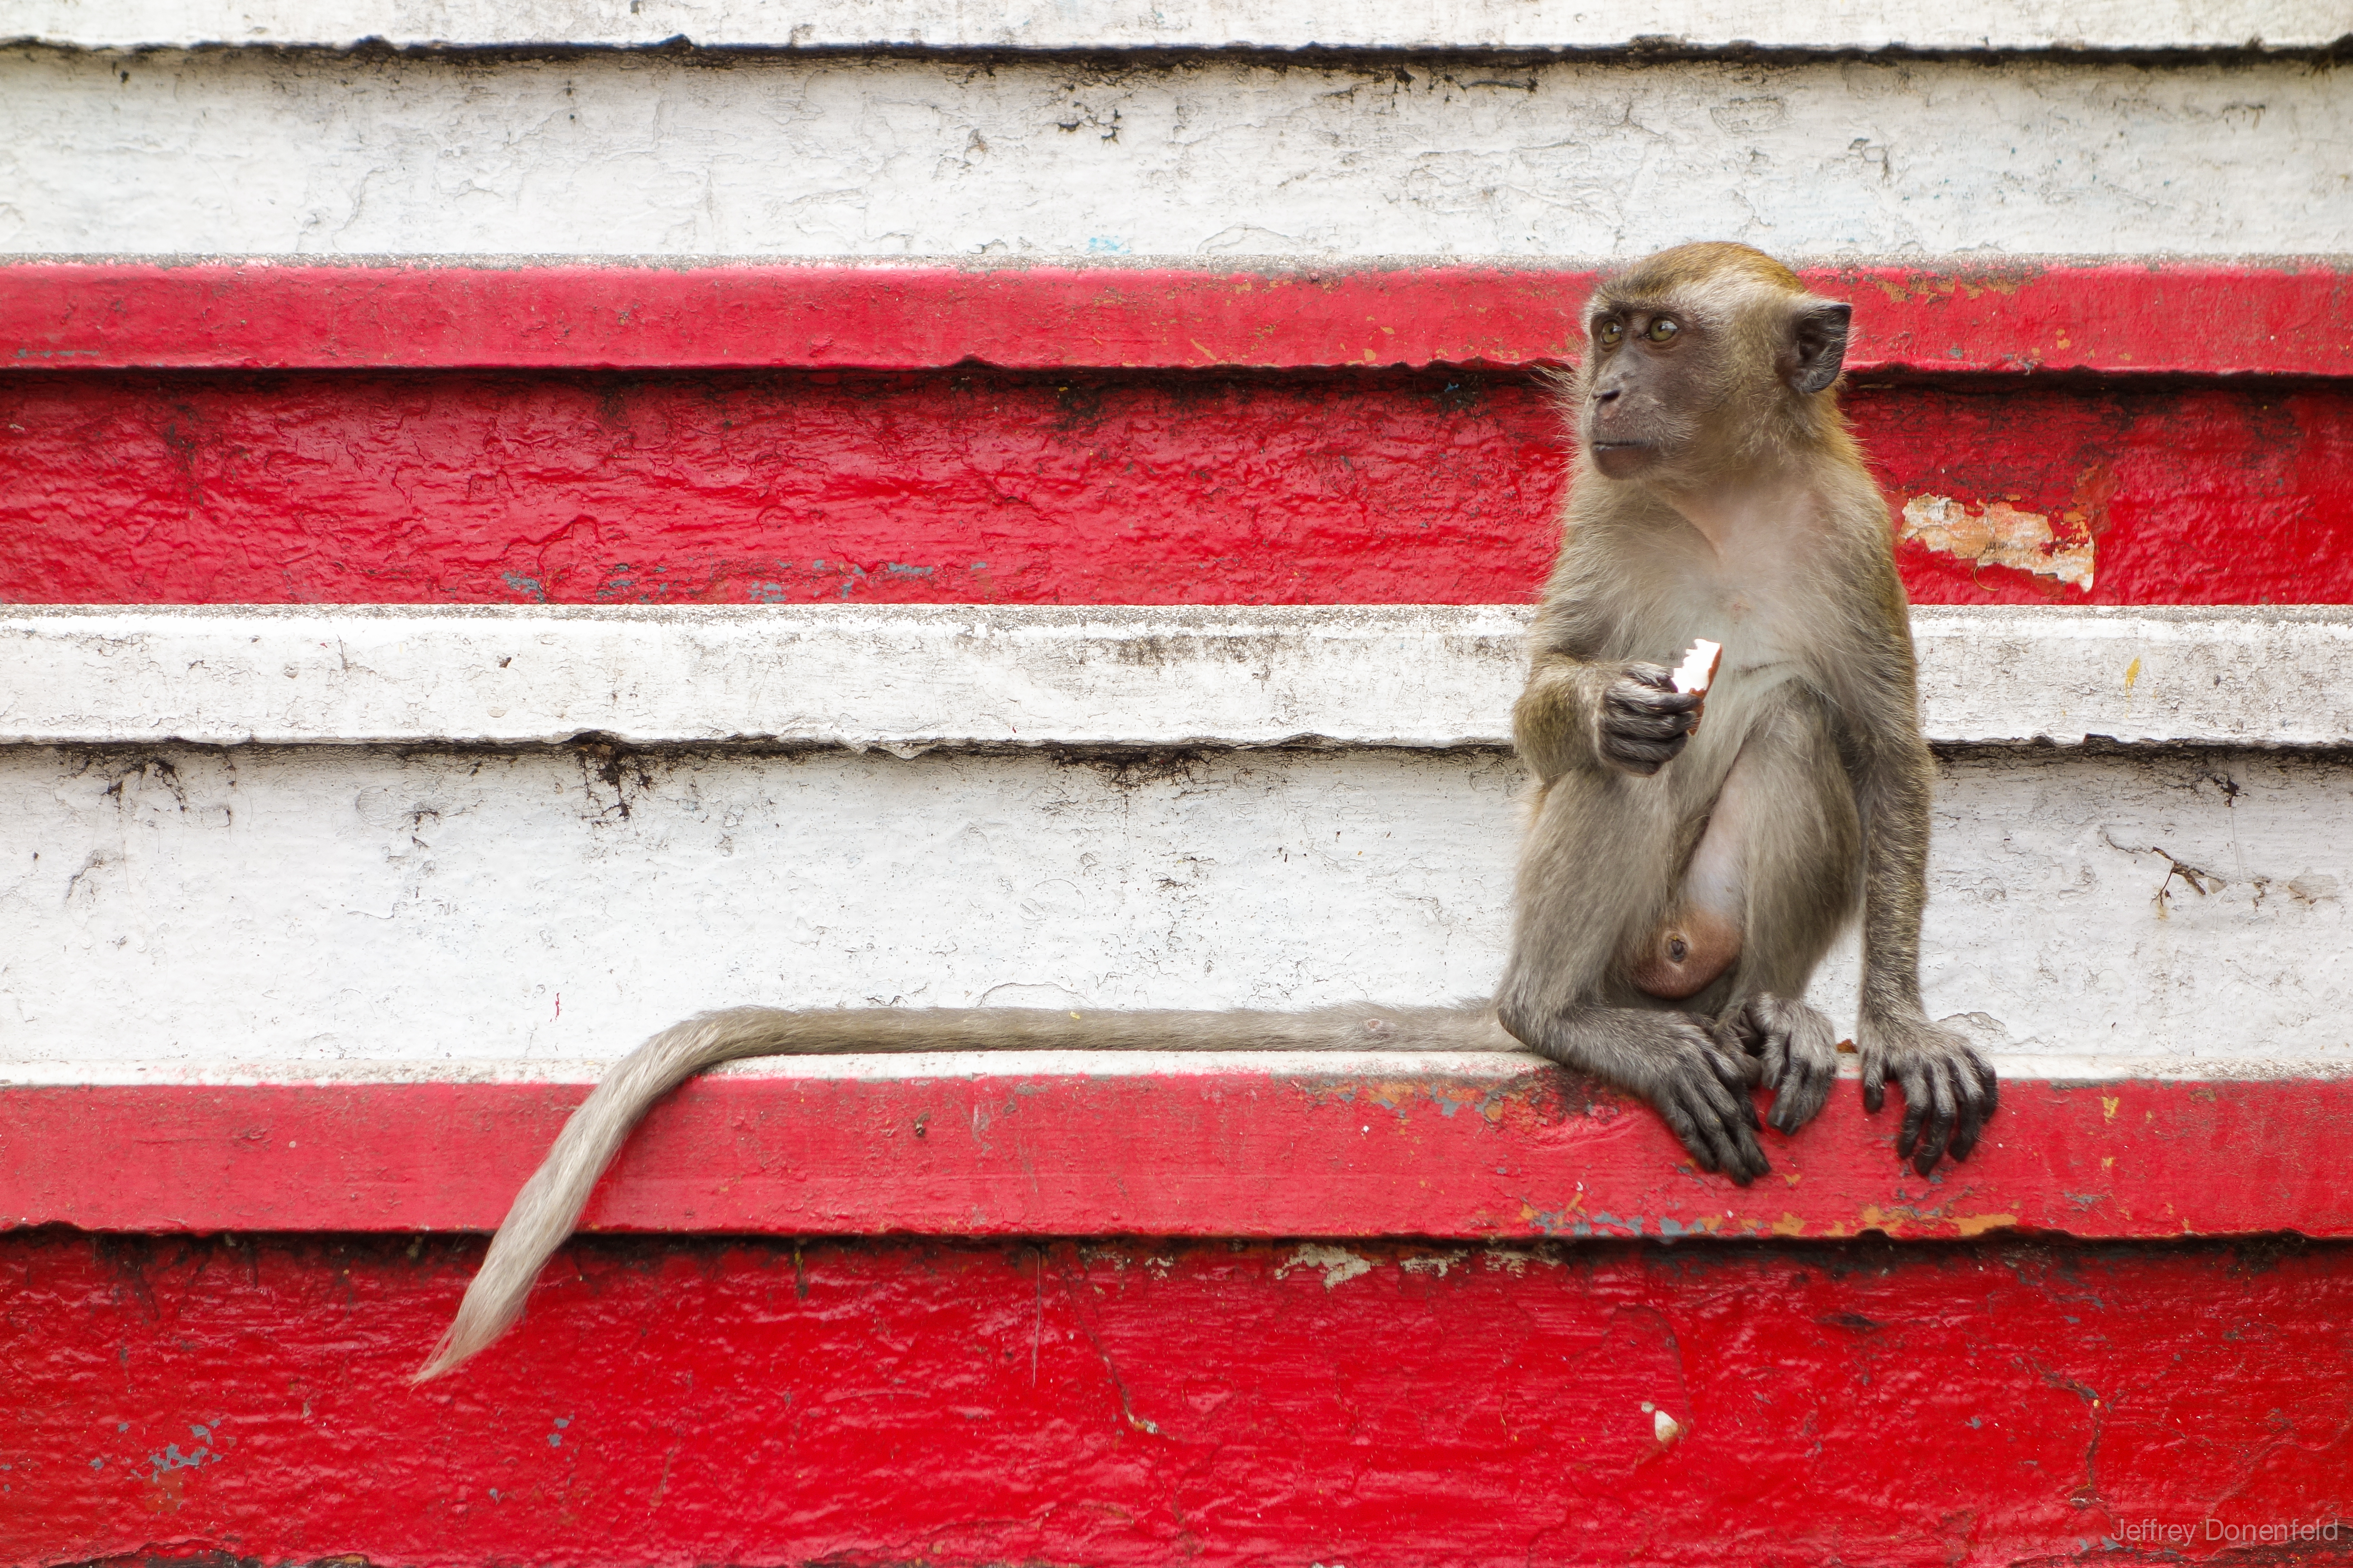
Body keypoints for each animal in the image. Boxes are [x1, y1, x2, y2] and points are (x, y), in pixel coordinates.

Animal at [414, 240, 1995, 1382]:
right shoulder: (1601, 512)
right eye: (1608, 333)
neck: (1722, 496)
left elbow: (1885, 750)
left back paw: (1772, 1015)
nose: (1601, 396)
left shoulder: (1854, 534)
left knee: (1792, 726)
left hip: (1697, 945)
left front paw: (1902, 1024)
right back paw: (1560, 1017)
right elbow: (1557, 703)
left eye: (1659, 338)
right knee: (1641, 780)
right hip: (1601, 946)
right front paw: (1602, 706)